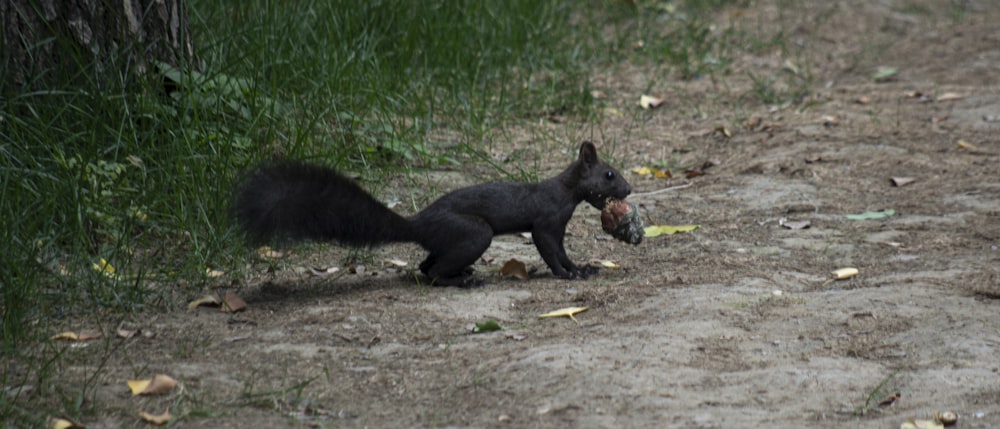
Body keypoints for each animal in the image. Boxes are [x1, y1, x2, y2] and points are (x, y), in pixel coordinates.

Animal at [230, 142, 628, 286]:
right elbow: (551, 251)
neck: (566, 193)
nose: (628, 190)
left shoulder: (557, 227)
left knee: (425, 266)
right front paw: (568, 274)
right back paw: (463, 280)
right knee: (431, 273)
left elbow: (562, 251)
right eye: (609, 174)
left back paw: (462, 273)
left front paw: (583, 268)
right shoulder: (547, 222)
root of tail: (417, 224)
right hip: (474, 233)